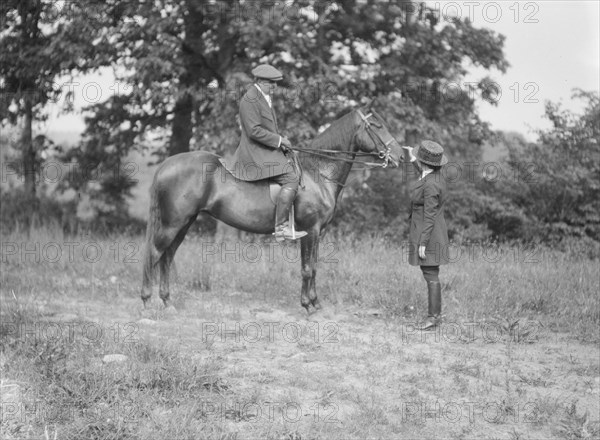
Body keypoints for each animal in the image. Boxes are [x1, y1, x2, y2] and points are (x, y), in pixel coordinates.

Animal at [141, 108, 404, 312]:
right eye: (377, 126)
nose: (401, 156)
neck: (318, 173)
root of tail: (167, 164)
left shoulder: (317, 232)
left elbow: (314, 267)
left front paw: (316, 303)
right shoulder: (311, 230)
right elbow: (307, 268)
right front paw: (307, 306)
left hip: (184, 223)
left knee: (167, 256)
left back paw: (167, 302)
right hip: (173, 223)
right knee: (154, 253)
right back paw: (146, 300)